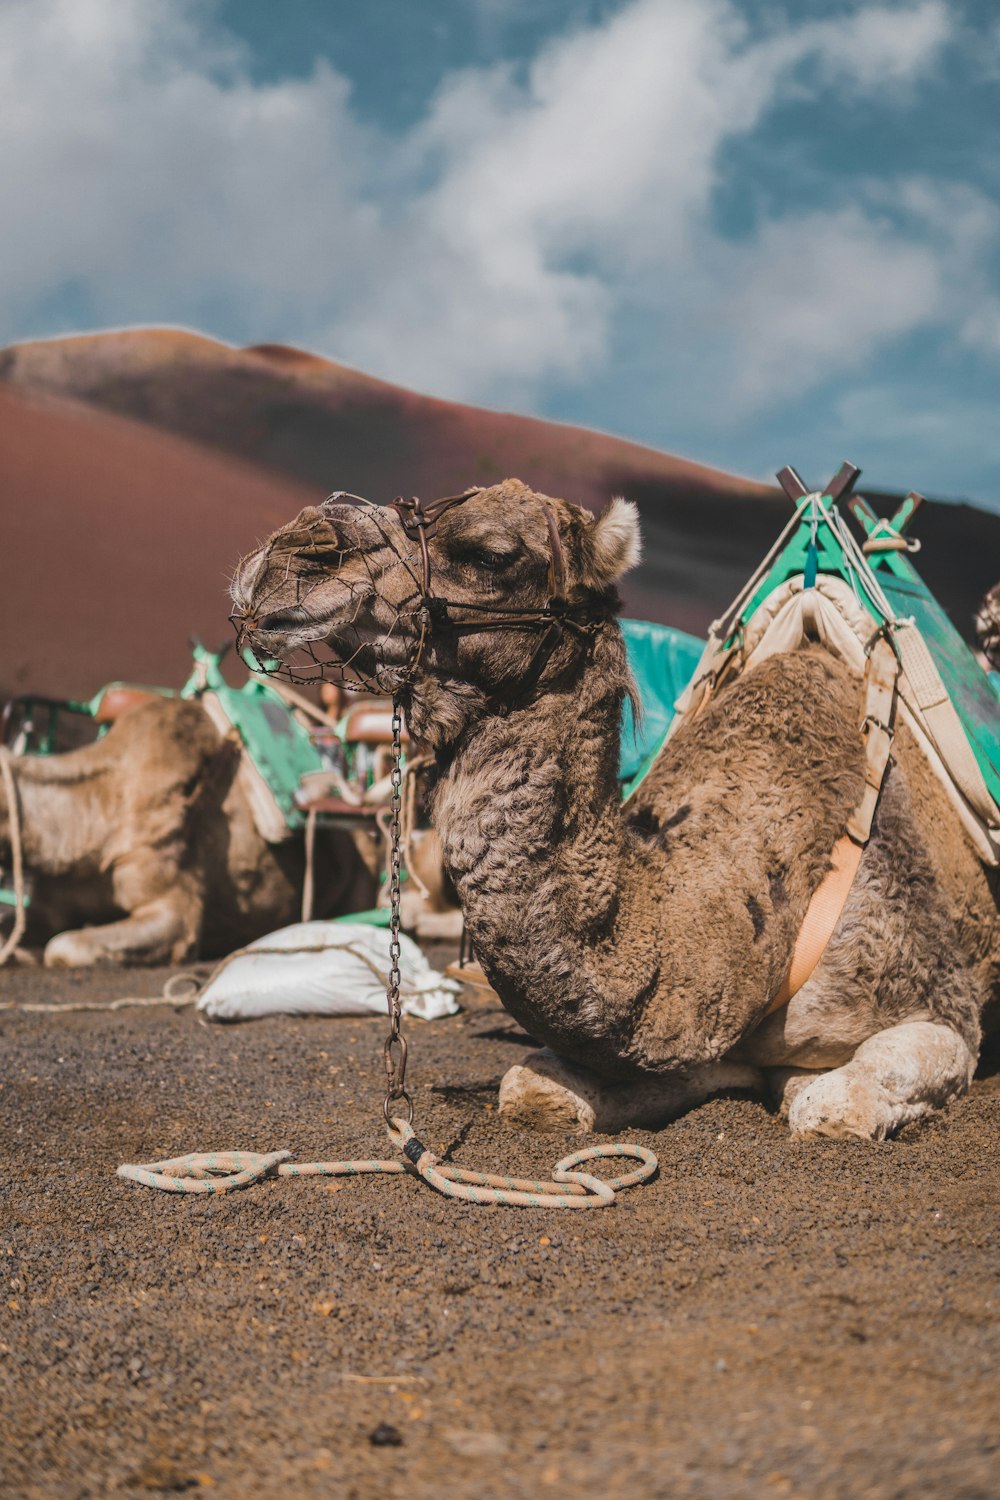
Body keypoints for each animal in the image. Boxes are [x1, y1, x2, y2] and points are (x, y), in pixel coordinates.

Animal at [230, 480, 995, 1134]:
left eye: (491, 553)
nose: (296, 549)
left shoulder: (942, 1004)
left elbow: (832, 1106)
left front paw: (806, 1086)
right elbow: (532, 1089)